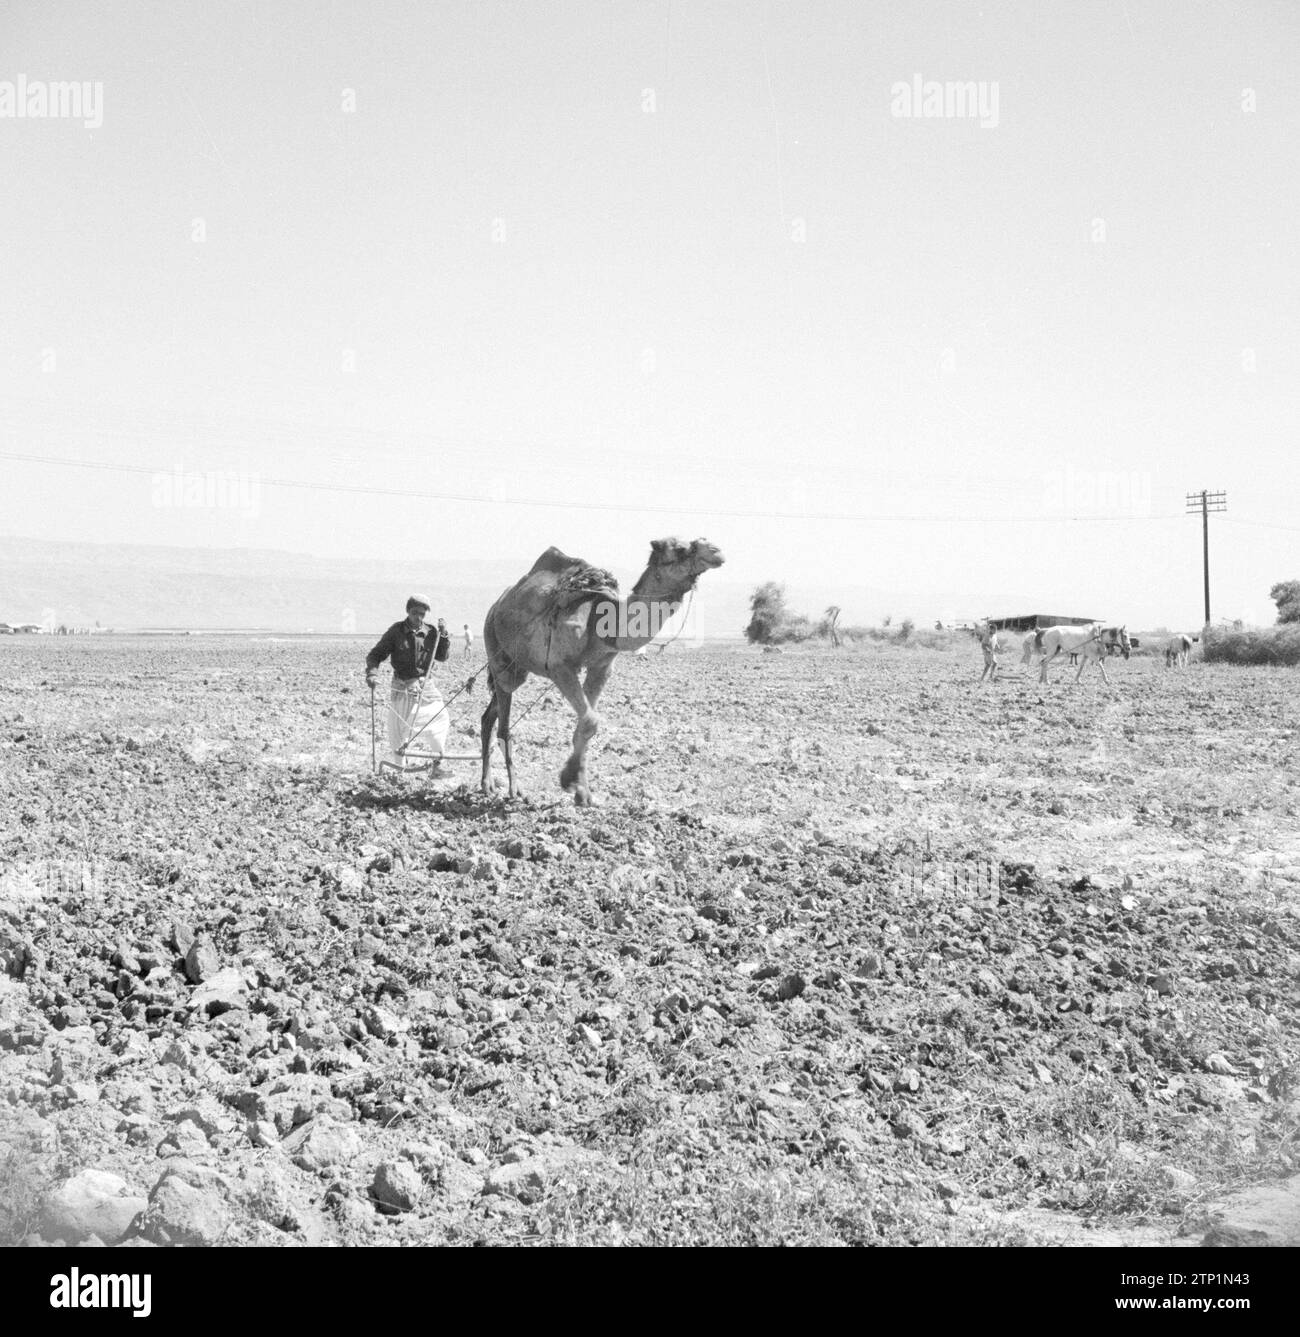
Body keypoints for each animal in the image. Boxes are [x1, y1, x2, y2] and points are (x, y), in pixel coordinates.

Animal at [478, 534, 722, 802]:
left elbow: (585, 725)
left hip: (518, 668)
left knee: (489, 716)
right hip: (497, 652)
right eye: (680, 549)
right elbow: (590, 722)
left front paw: (582, 792)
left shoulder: (601, 667)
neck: (606, 622)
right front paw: (568, 780)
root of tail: (495, 607)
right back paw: (514, 789)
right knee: (504, 726)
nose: (716, 550)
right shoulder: (559, 666)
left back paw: (487, 784)